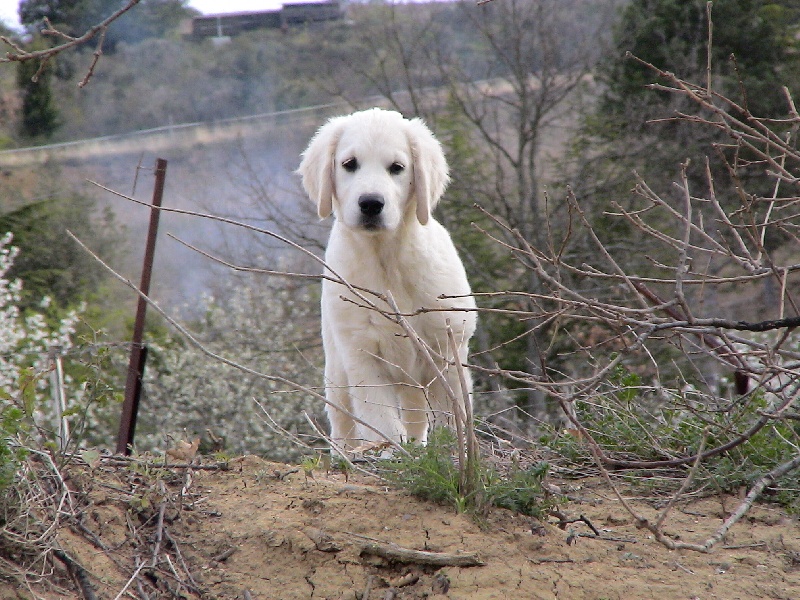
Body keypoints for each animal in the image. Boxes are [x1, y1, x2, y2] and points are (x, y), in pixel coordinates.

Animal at [298, 106, 476, 450]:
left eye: (397, 168)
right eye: (349, 164)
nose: (370, 203)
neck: (386, 260)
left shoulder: (447, 352)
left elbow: (453, 416)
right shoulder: (362, 357)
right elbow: (381, 421)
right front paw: (391, 453)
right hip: (337, 374)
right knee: (344, 426)